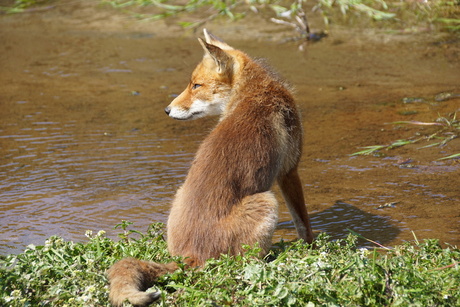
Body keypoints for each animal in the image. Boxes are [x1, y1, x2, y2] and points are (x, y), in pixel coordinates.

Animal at [107, 29, 314, 307]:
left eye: (196, 85)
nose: (167, 110)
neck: (253, 91)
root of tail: (190, 256)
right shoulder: (289, 171)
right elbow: (303, 224)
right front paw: (313, 251)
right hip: (267, 203)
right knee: (245, 263)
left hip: (179, 195)